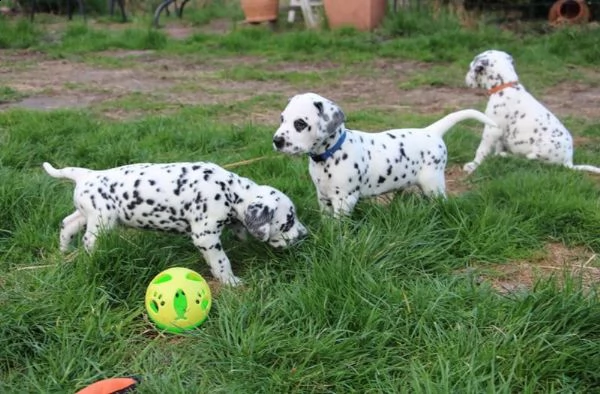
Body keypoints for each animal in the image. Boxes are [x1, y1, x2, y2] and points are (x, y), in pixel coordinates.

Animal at [42, 160, 308, 286]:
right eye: (288, 222)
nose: (305, 235)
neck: (230, 191)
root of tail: (86, 175)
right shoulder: (205, 236)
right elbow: (221, 261)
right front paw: (230, 281)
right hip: (102, 219)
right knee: (89, 239)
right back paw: (90, 257)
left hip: (85, 214)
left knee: (67, 224)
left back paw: (64, 251)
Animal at [272, 91, 496, 217]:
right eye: (282, 119)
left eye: (300, 123)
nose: (276, 141)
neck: (330, 154)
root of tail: (431, 131)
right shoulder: (323, 196)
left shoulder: (344, 199)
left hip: (433, 184)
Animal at [464, 48, 600, 174]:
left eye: (471, 67)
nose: (465, 80)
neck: (505, 86)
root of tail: (568, 162)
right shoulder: (499, 132)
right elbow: (498, 145)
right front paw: (495, 155)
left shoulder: (492, 129)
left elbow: (481, 149)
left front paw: (473, 165)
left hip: (542, 148)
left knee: (529, 160)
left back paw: (507, 156)